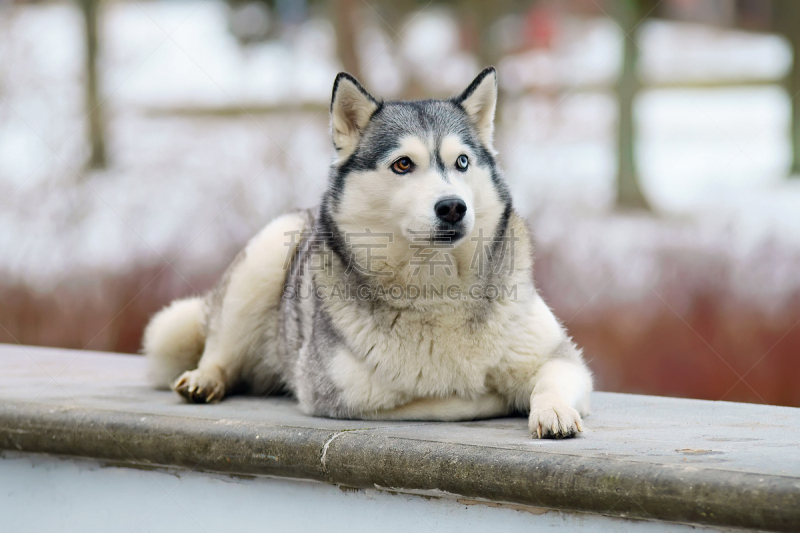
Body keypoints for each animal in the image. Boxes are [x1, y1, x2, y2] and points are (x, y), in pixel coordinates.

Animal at [144, 68, 592, 438]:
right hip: (262, 260)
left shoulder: (563, 360)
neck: (436, 287)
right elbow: (451, 401)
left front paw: (551, 410)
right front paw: (489, 398)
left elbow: (554, 379)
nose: (452, 207)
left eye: (462, 162)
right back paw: (205, 378)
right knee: (220, 349)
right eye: (403, 164)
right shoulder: (344, 394)